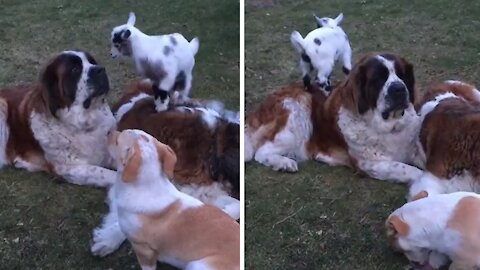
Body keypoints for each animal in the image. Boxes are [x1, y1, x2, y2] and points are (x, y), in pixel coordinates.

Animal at [0, 50, 116, 186]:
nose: (101, 69)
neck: (84, 123)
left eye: (92, 62)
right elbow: (110, 175)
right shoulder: (68, 169)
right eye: (75, 69)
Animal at [248, 52, 424, 184]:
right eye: (378, 79)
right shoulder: (369, 164)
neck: (390, 127)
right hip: (299, 110)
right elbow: (410, 170)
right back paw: (284, 163)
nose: (399, 89)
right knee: (261, 152)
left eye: (402, 75)